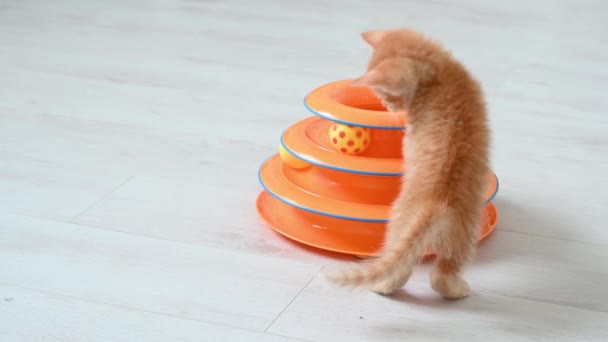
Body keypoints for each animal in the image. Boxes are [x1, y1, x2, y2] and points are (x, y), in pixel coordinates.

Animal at [326, 28, 492, 300]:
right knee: (432, 273)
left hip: (428, 231)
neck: (439, 74)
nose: (387, 106)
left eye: (385, 94)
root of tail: (434, 205)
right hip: (464, 233)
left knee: (419, 269)